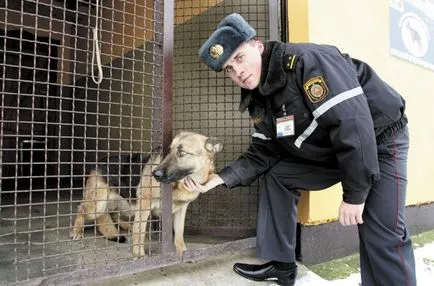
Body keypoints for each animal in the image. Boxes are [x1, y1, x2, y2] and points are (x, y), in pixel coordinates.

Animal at [69, 132, 222, 256]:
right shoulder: (144, 205)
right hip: (98, 205)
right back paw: (77, 231)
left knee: (112, 214)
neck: (179, 184)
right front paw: (139, 255)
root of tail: (98, 163)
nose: (155, 174)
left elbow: (179, 235)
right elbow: (140, 232)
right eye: (168, 151)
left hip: (126, 205)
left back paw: (126, 226)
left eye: (182, 152)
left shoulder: (180, 210)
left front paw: (182, 252)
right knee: (81, 209)